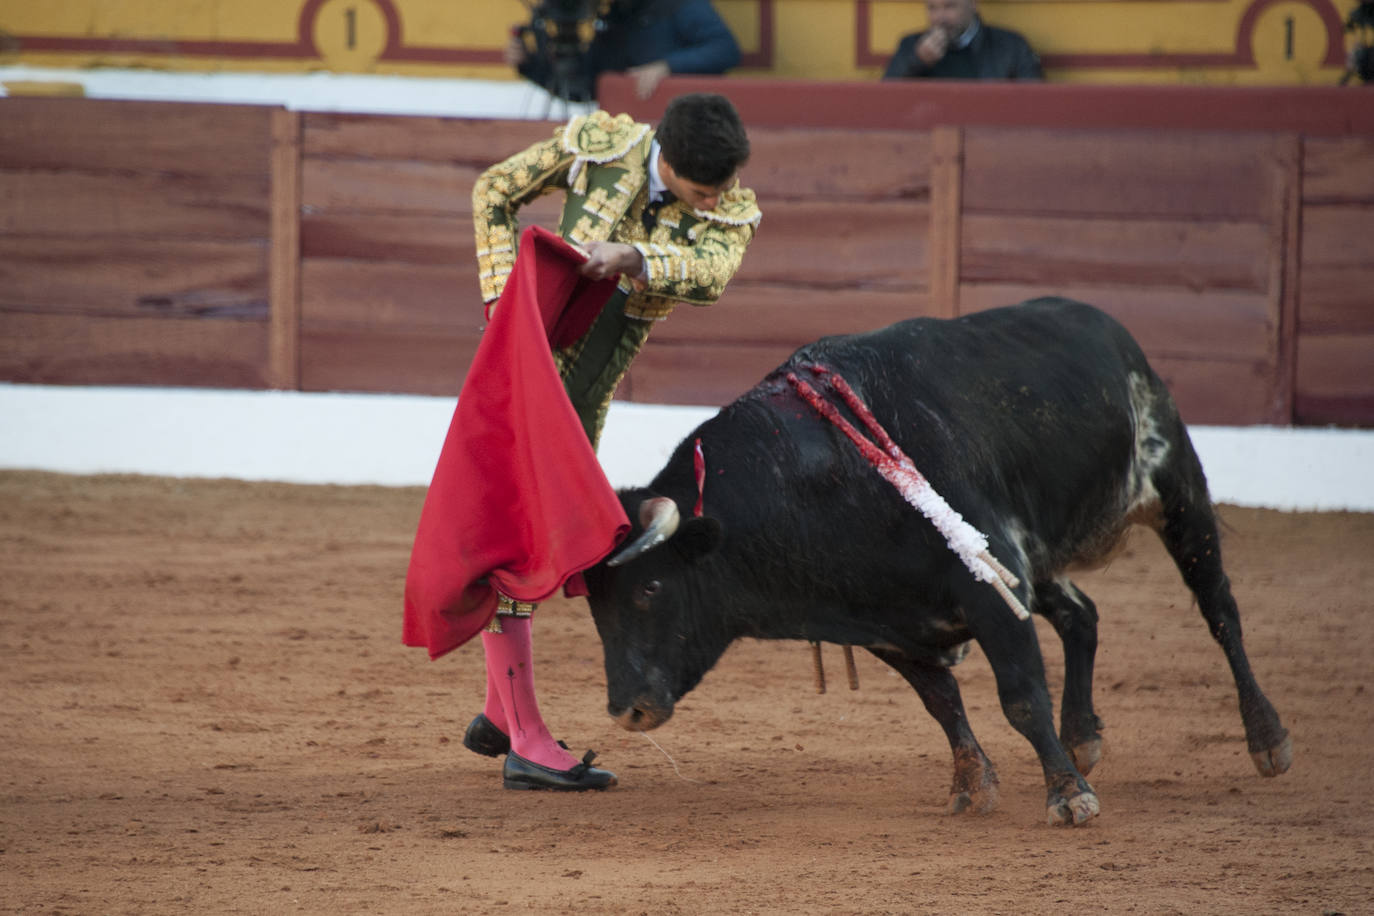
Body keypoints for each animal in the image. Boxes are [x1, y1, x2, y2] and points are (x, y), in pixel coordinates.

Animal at [585, 298, 1291, 829]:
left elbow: (1020, 696)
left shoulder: (989, 585)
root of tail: (1104, 324)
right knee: (1082, 616)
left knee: (1220, 609)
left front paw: (1068, 797)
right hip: (1035, 562)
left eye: (650, 587)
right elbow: (940, 700)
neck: (819, 477)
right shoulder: (888, 620)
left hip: (1177, 488)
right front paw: (973, 786)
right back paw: (1083, 734)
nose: (625, 711)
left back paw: (1267, 739)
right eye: (595, 605)